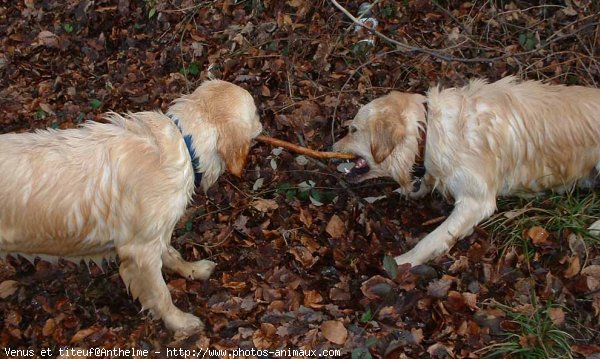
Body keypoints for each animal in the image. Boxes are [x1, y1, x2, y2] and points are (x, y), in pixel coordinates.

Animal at [0, 80, 262, 336]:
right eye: (256, 113)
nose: (264, 124)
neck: (185, 144)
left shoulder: (155, 232)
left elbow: (171, 253)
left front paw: (191, 270)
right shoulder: (140, 251)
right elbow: (161, 294)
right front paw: (180, 323)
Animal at [332, 76, 600, 268]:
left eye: (353, 130)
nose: (332, 146)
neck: (428, 131)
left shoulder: (476, 201)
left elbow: (432, 239)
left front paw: (403, 261)